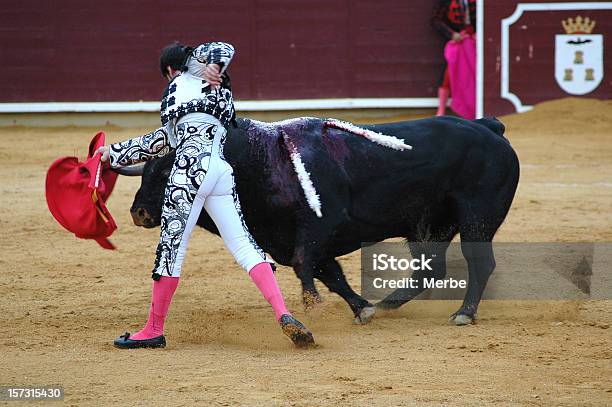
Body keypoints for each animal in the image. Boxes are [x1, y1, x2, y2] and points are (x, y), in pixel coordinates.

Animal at [122, 116, 520, 326]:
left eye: (165, 173)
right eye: (147, 172)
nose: (138, 212)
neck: (262, 161)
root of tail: (488, 128)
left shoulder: (321, 226)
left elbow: (306, 265)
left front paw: (312, 305)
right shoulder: (298, 240)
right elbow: (331, 274)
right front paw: (363, 308)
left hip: (477, 219)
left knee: (479, 263)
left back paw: (464, 313)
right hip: (430, 226)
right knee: (430, 268)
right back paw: (388, 304)